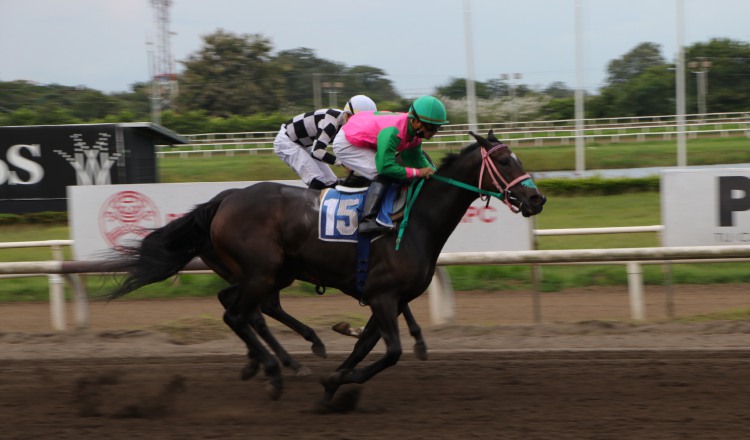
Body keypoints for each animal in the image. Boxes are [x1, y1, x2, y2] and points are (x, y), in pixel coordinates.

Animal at [106, 130, 548, 402]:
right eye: (504, 161)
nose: (536, 199)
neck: (416, 220)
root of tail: (225, 198)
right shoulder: (383, 296)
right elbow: (391, 352)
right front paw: (340, 377)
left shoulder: (387, 298)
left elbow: (365, 345)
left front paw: (334, 380)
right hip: (262, 270)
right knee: (238, 314)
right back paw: (275, 371)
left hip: (268, 272)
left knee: (245, 306)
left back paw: (284, 358)